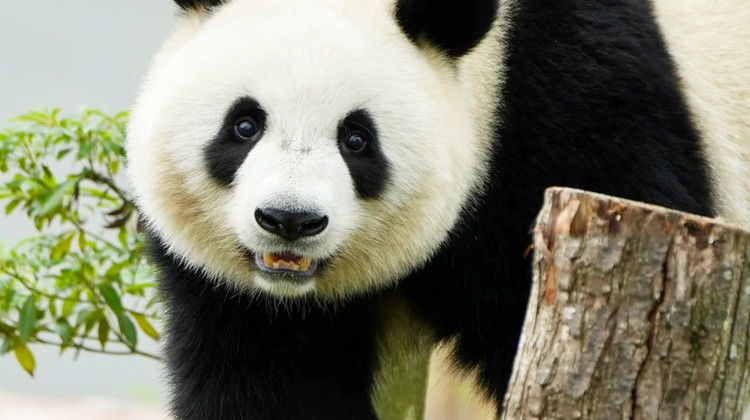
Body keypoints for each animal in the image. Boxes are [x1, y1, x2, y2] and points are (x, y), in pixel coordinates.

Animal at [125, 0, 750, 418]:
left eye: (357, 139)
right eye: (245, 125)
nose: (290, 221)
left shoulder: (583, 126)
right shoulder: (246, 300)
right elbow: (270, 379)